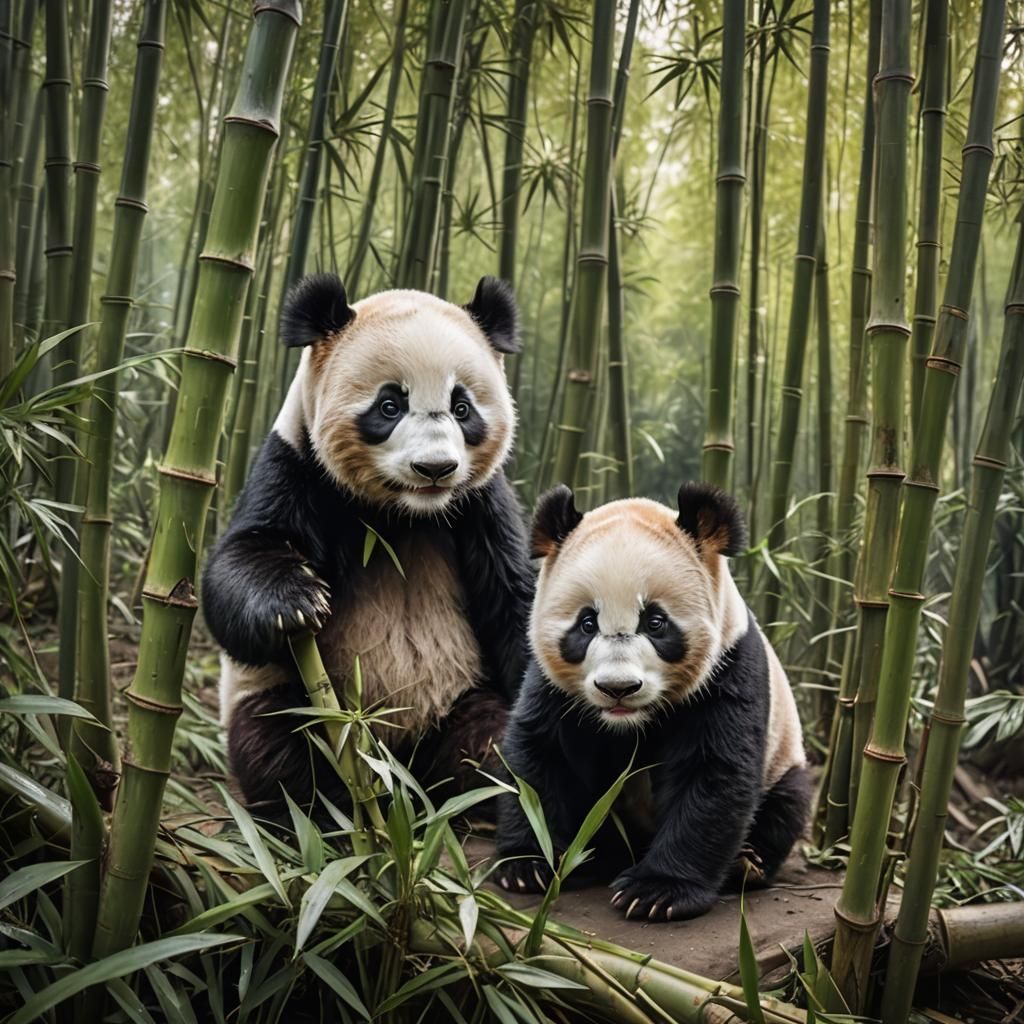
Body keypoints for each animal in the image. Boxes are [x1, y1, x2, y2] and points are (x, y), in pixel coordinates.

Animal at [202, 273, 534, 815]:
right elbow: (241, 560)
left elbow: (515, 598)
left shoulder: (481, 503)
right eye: (389, 405)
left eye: (462, 407)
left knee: (485, 741)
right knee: (280, 745)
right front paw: (296, 601)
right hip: (293, 700)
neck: (402, 514)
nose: (435, 468)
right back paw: (328, 810)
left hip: (462, 697)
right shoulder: (297, 464)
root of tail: (397, 773)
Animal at [494, 482, 808, 922]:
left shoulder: (727, 667)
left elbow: (710, 770)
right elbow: (541, 754)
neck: (631, 720)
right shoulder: (554, 687)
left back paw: (748, 864)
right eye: (586, 623)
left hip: (784, 759)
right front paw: (528, 864)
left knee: (787, 803)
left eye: (655, 623)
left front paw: (657, 891)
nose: (618, 687)